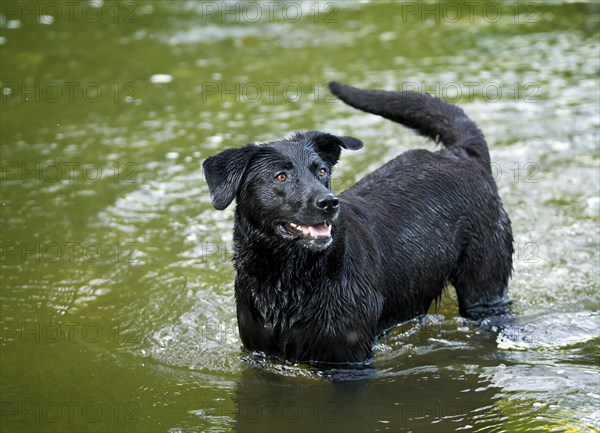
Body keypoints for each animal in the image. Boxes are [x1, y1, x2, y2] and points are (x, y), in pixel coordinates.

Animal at [202, 82, 510, 364]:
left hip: (484, 285)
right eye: (280, 177)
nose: (328, 202)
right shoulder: (259, 354)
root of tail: (461, 154)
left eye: (322, 171)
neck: (289, 277)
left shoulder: (350, 360)